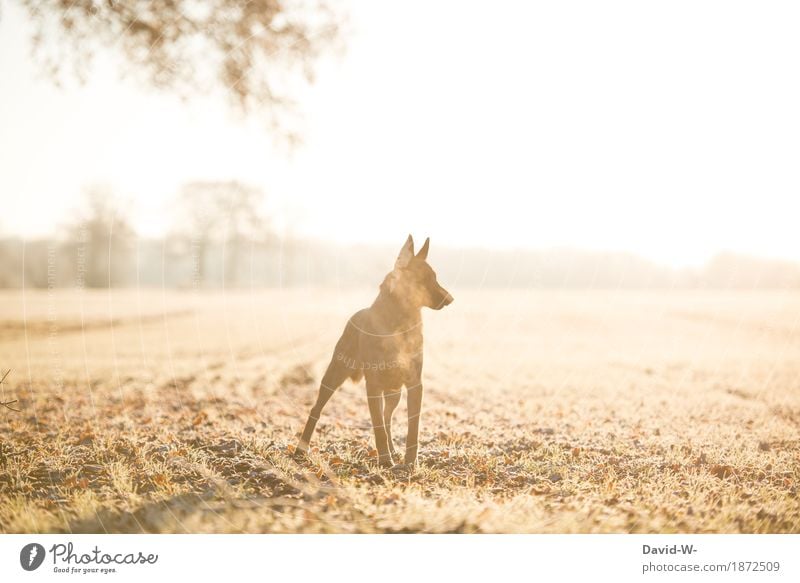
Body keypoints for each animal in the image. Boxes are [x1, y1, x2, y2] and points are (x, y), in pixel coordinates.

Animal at [296, 235, 456, 468]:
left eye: (435, 277)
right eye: (425, 279)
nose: (451, 300)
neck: (399, 323)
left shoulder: (415, 385)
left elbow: (412, 428)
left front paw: (410, 462)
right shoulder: (372, 385)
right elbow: (378, 426)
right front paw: (385, 460)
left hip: (394, 392)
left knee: (387, 418)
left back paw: (393, 450)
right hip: (335, 376)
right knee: (317, 409)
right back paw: (302, 448)